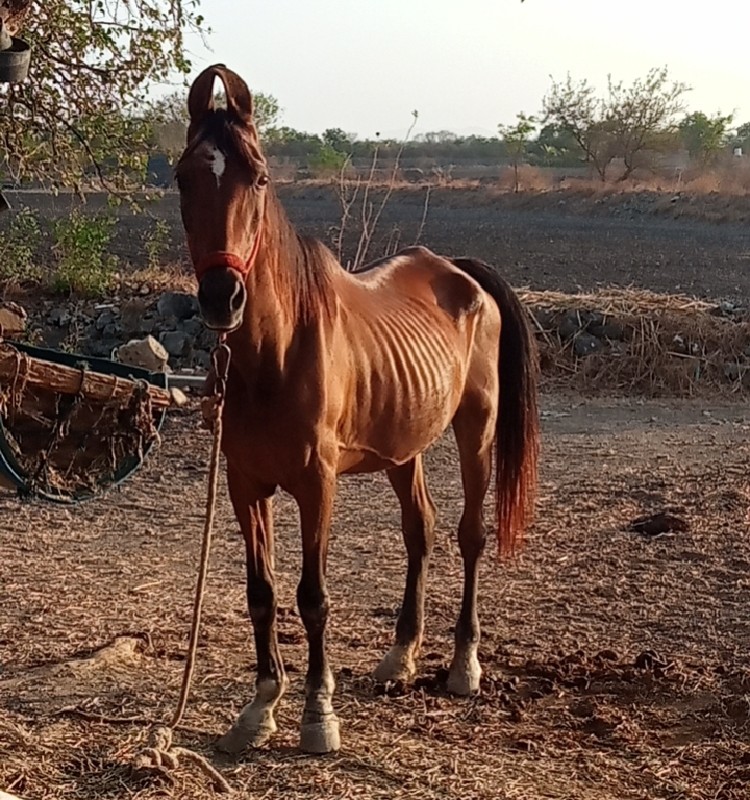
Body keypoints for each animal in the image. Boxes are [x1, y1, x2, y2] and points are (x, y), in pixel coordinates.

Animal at [176, 64, 540, 756]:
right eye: (183, 175)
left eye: (259, 176)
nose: (222, 297)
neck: (275, 353)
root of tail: (462, 274)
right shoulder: (245, 484)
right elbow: (262, 594)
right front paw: (260, 707)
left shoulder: (317, 485)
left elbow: (312, 597)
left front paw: (318, 713)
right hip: (404, 448)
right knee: (420, 532)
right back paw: (400, 657)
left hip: (475, 430)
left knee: (469, 536)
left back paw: (464, 666)